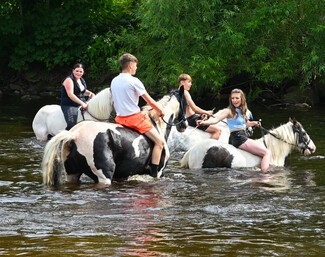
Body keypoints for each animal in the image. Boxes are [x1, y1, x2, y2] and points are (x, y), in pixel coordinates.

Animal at [41, 88, 186, 184]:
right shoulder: (159, 172)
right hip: (104, 177)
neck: (157, 124)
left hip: (72, 174)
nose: (184, 125)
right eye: (185, 102)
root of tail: (74, 134)